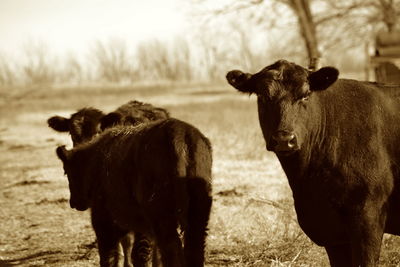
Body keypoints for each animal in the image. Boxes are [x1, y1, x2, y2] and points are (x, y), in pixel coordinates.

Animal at [57, 119, 212, 267]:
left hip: (162, 218)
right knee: (194, 249)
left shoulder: (103, 219)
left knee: (171, 248)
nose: (73, 202)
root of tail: (179, 134)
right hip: (197, 217)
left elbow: (110, 255)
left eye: (66, 172)